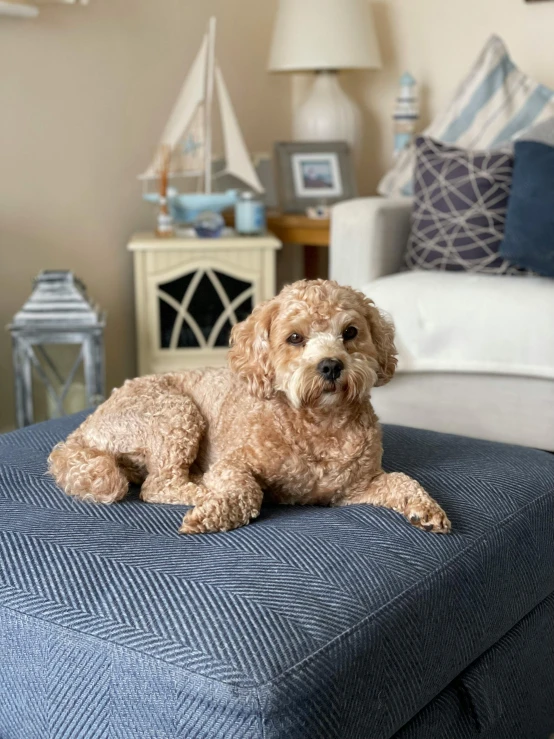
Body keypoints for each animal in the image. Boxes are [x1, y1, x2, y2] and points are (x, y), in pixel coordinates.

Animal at [48, 280, 448, 536]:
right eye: (294, 338)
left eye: (350, 332)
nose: (331, 366)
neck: (318, 423)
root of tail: (84, 427)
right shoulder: (232, 465)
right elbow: (247, 490)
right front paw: (214, 511)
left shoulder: (354, 488)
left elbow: (402, 480)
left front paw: (427, 510)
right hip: (175, 413)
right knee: (159, 485)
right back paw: (203, 491)